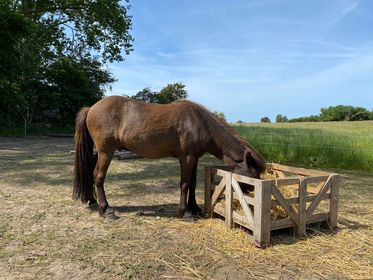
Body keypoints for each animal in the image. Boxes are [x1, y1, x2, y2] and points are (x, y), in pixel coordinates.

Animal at [72, 95, 264, 219]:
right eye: (253, 176)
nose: (251, 199)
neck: (200, 123)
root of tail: (91, 108)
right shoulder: (186, 158)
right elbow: (185, 184)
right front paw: (184, 212)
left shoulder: (194, 158)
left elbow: (192, 183)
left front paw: (194, 208)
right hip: (106, 152)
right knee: (98, 176)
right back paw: (106, 210)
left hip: (100, 152)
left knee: (90, 172)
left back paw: (92, 201)